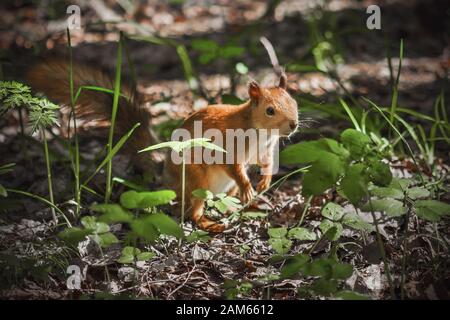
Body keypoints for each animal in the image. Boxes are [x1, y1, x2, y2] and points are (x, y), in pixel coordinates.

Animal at [26, 58, 298, 232]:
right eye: (270, 110)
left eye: (294, 101)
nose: (294, 124)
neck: (261, 132)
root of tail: (167, 178)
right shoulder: (227, 147)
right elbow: (233, 166)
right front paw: (249, 186)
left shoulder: (265, 150)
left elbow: (266, 163)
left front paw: (264, 182)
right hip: (196, 181)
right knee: (192, 213)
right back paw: (210, 222)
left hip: (220, 188)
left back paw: (234, 209)